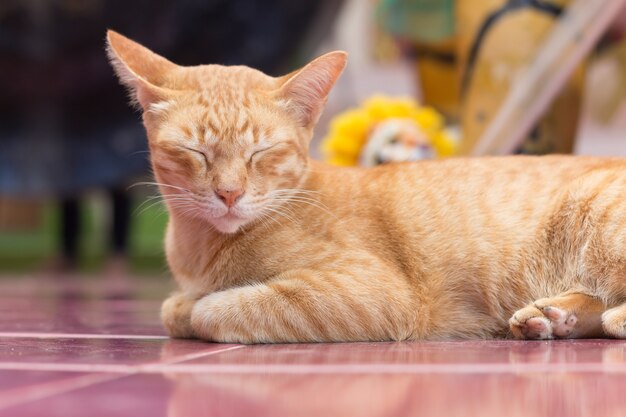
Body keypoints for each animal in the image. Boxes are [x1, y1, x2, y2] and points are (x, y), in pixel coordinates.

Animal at [107, 29, 624, 342]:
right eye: (195, 153)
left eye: (262, 153)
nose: (229, 194)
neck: (200, 248)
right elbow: (176, 307)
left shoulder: (372, 291)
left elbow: (206, 309)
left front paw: (197, 304)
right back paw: (553, 317)